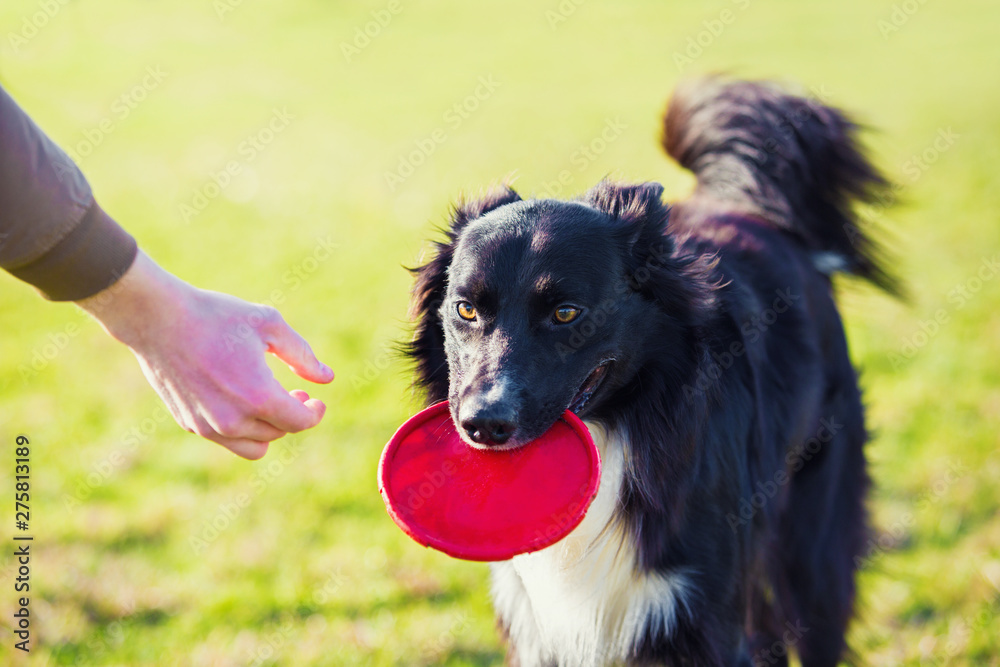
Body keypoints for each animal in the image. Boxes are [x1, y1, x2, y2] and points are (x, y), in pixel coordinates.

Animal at [402, 79, 896, 667]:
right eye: (466, 310)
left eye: (565, 313)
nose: (483, 425)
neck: (621, 428)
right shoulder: (539, 628)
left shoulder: (703, 614)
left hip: (812, 547)